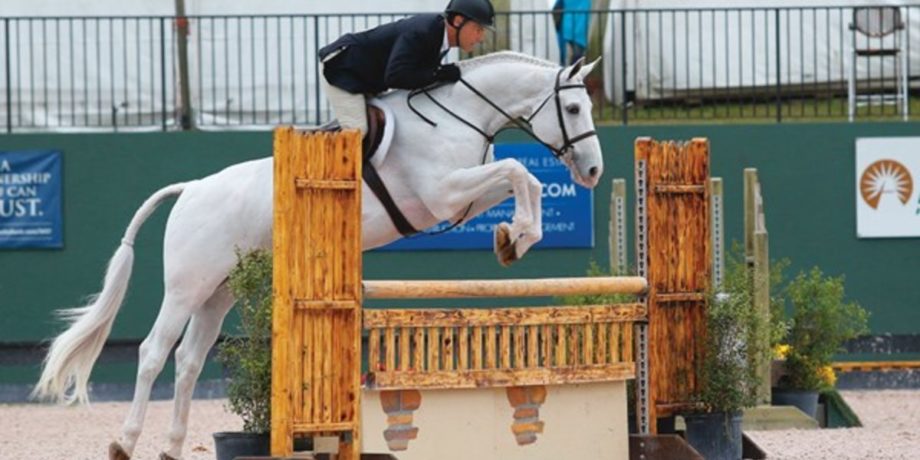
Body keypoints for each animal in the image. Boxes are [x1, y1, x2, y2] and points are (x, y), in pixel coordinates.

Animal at [34, 51, 604, 460]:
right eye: (574, 108)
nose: (594, 172)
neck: (458, 115)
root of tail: (191, 188)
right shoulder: (443, 194)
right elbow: (518, 169)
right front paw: (520, 234)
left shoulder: (459, 197)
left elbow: (520, 178)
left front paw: (512, 238)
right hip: (187, 286)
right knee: (154, 352)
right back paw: (123, 443)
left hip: (219, 292)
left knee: (189, 360)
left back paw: (173, 448)